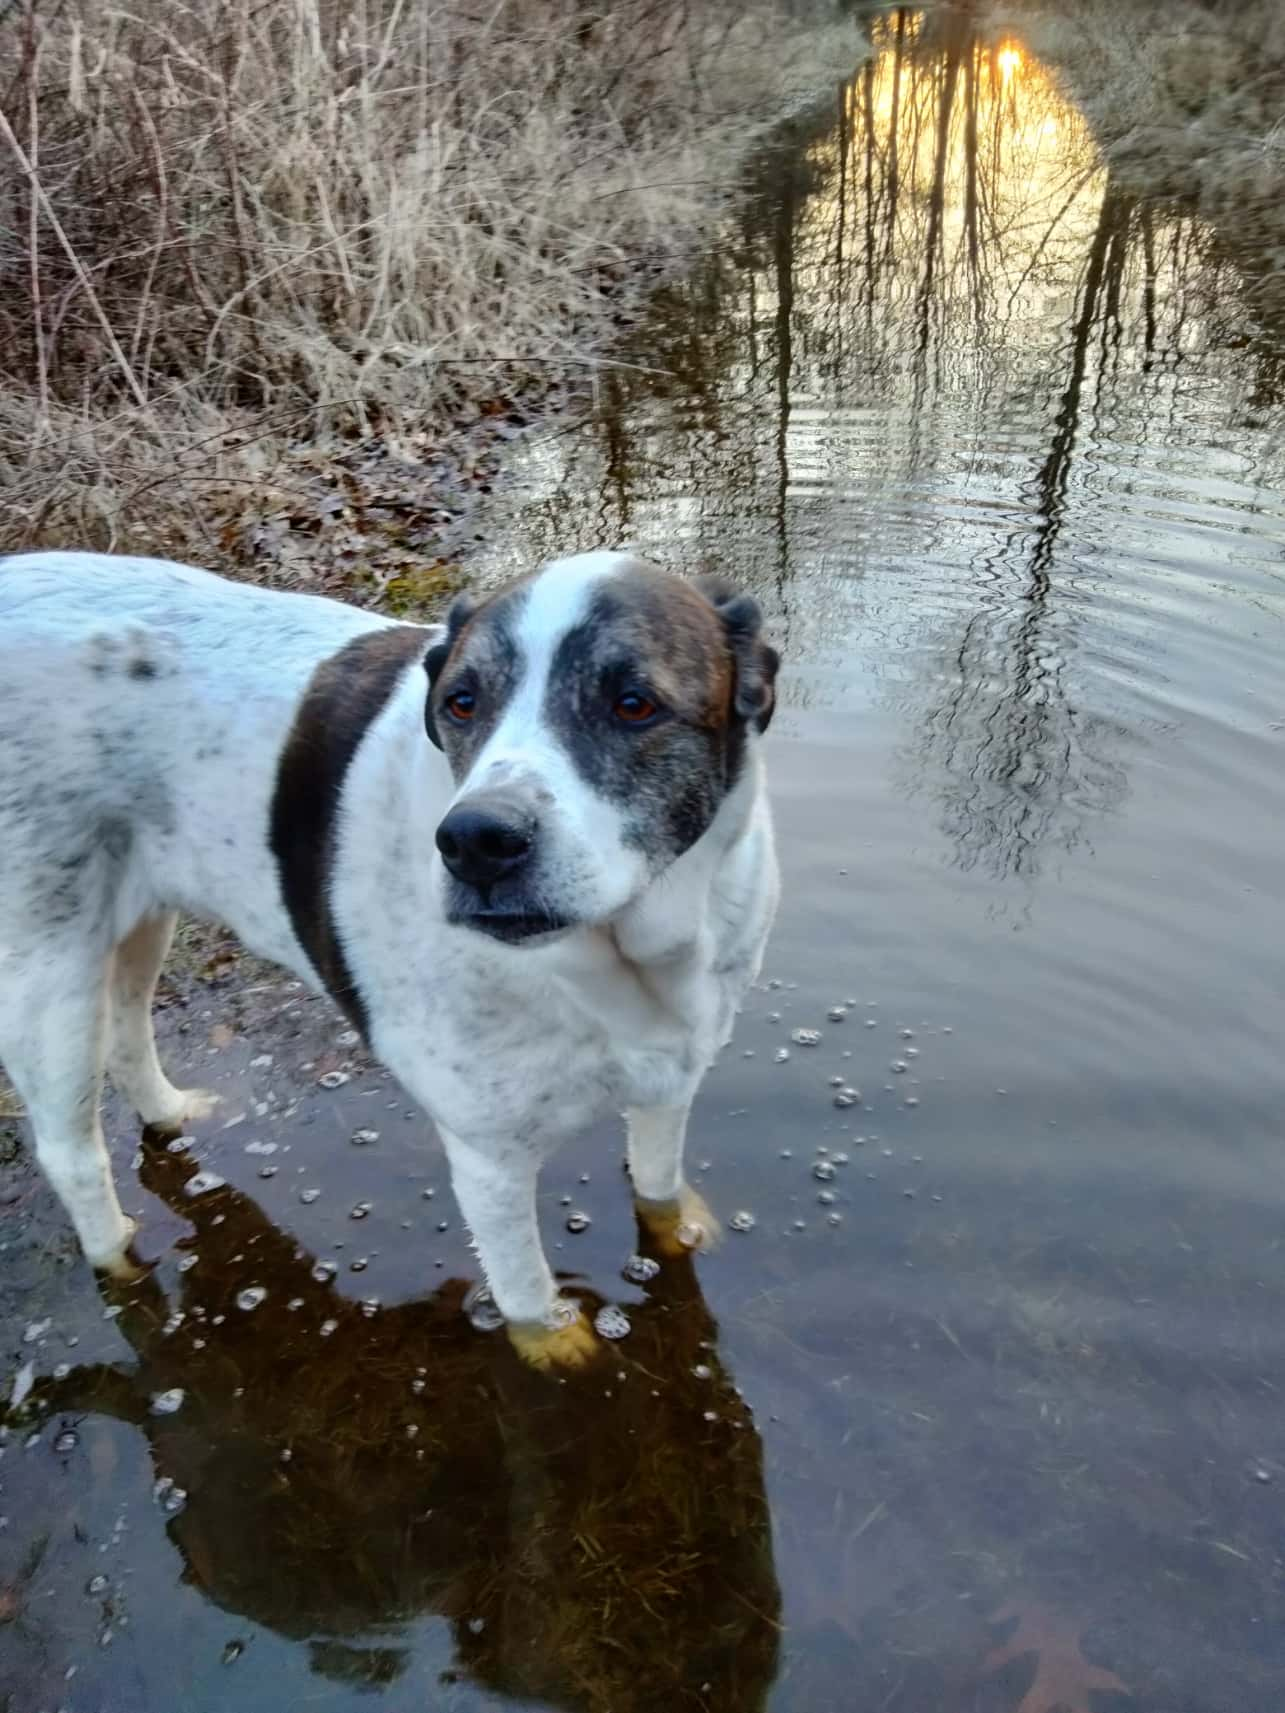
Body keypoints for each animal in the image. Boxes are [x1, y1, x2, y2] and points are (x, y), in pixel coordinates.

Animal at [0, 548, 781, 1363]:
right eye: (461, 703)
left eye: (633, 703)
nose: (475, 842)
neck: (624, 955)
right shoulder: (488, 1158)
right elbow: (525, 1295)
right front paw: (556, 1346)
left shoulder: (671, 1081)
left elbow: (657, 1190)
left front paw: (677, 1230)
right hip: (46, 970)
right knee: (70, 1149)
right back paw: (118, 1258)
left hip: (140, 913)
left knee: (128, 1029)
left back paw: (171, 1111)